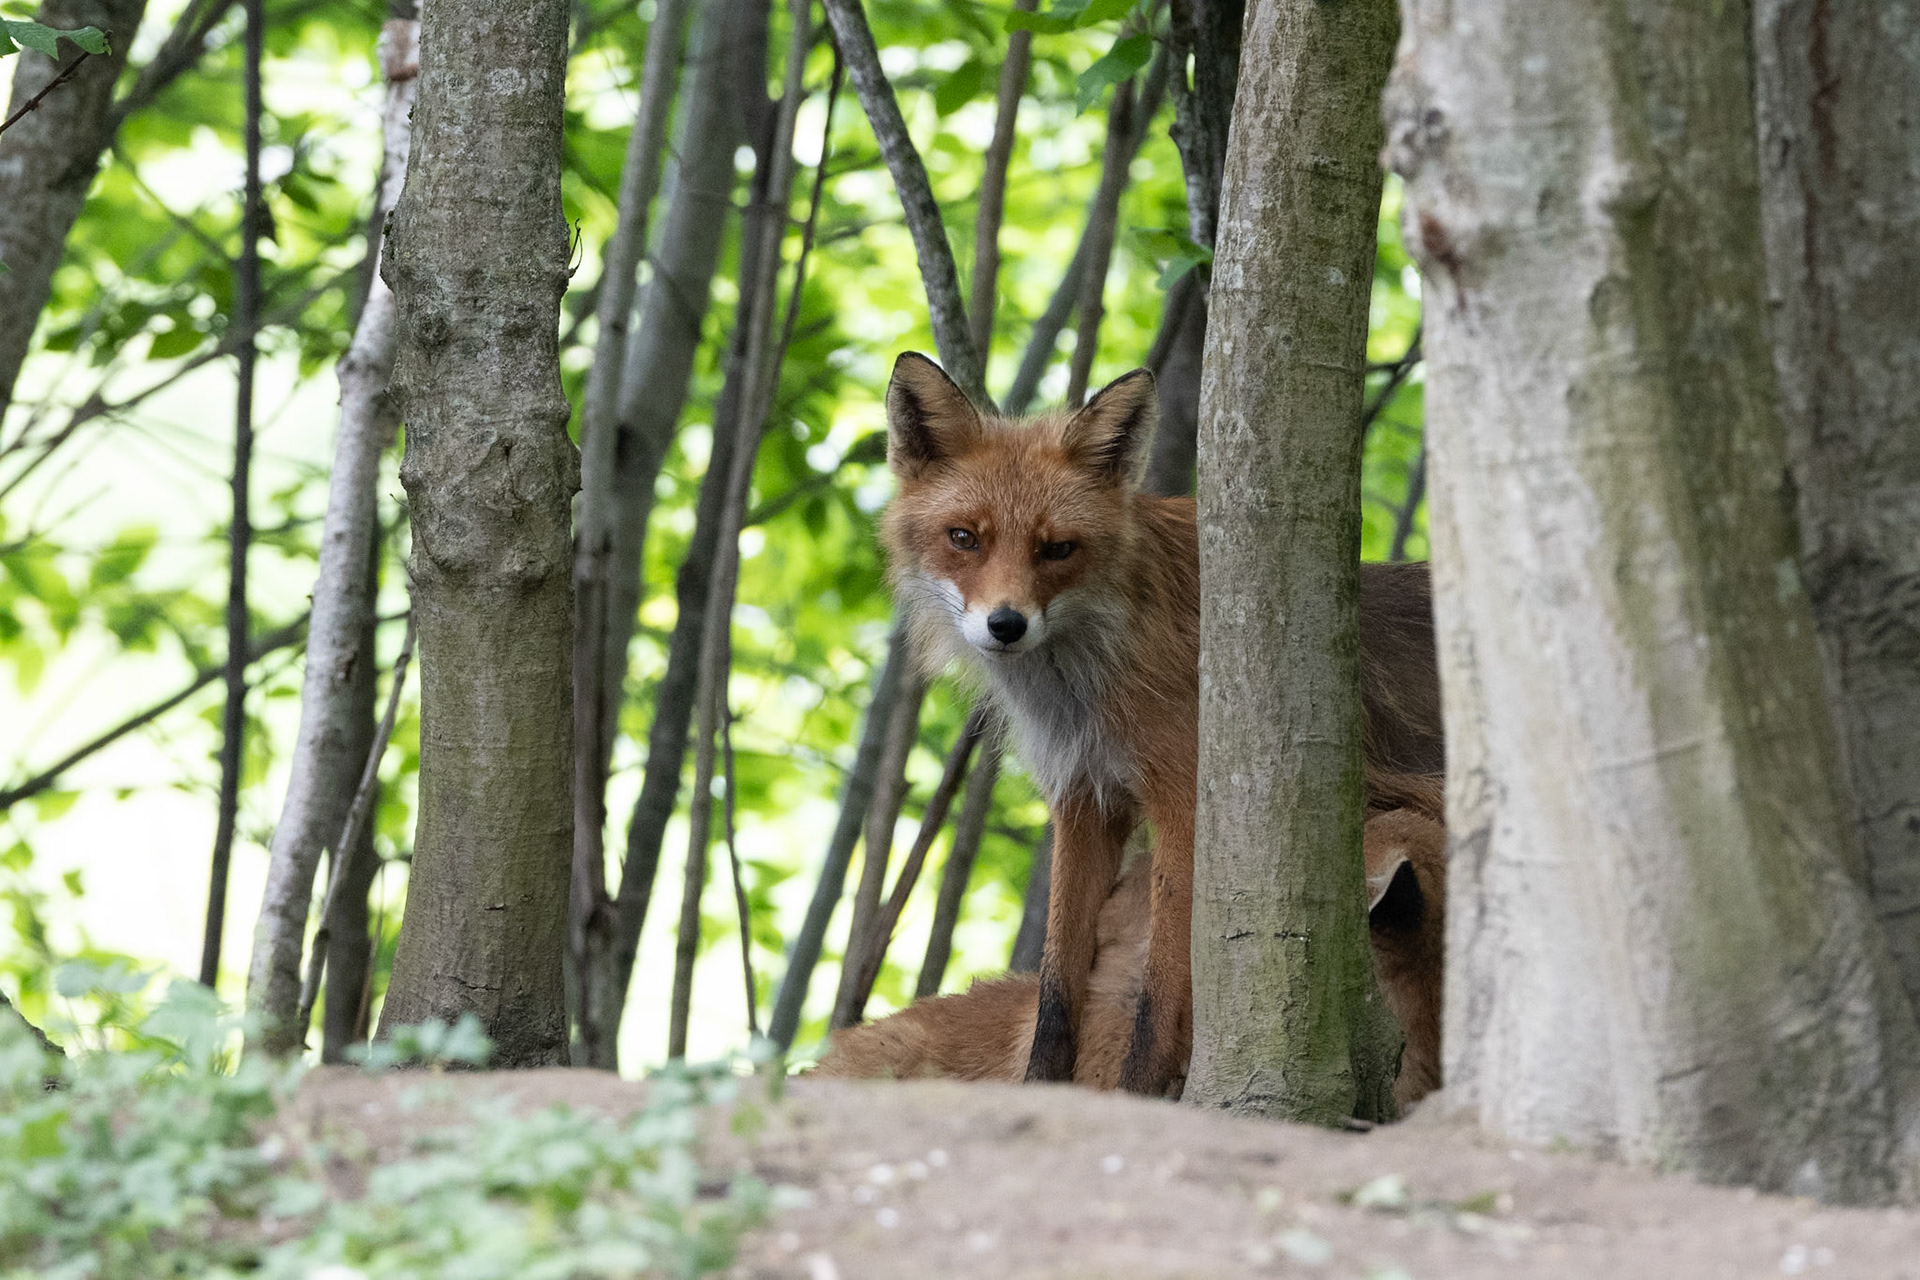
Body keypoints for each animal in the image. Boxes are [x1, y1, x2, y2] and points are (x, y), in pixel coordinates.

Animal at [879, 352, 1445, 1096]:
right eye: (964, 539)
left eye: (1058, 549)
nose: (1006, 625)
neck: (1095, 675)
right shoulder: (1084, 798)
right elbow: (1058, 984)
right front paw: (1043, 1090)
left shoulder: (1186, 800)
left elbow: (1163, 985)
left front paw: (1141, 1094)